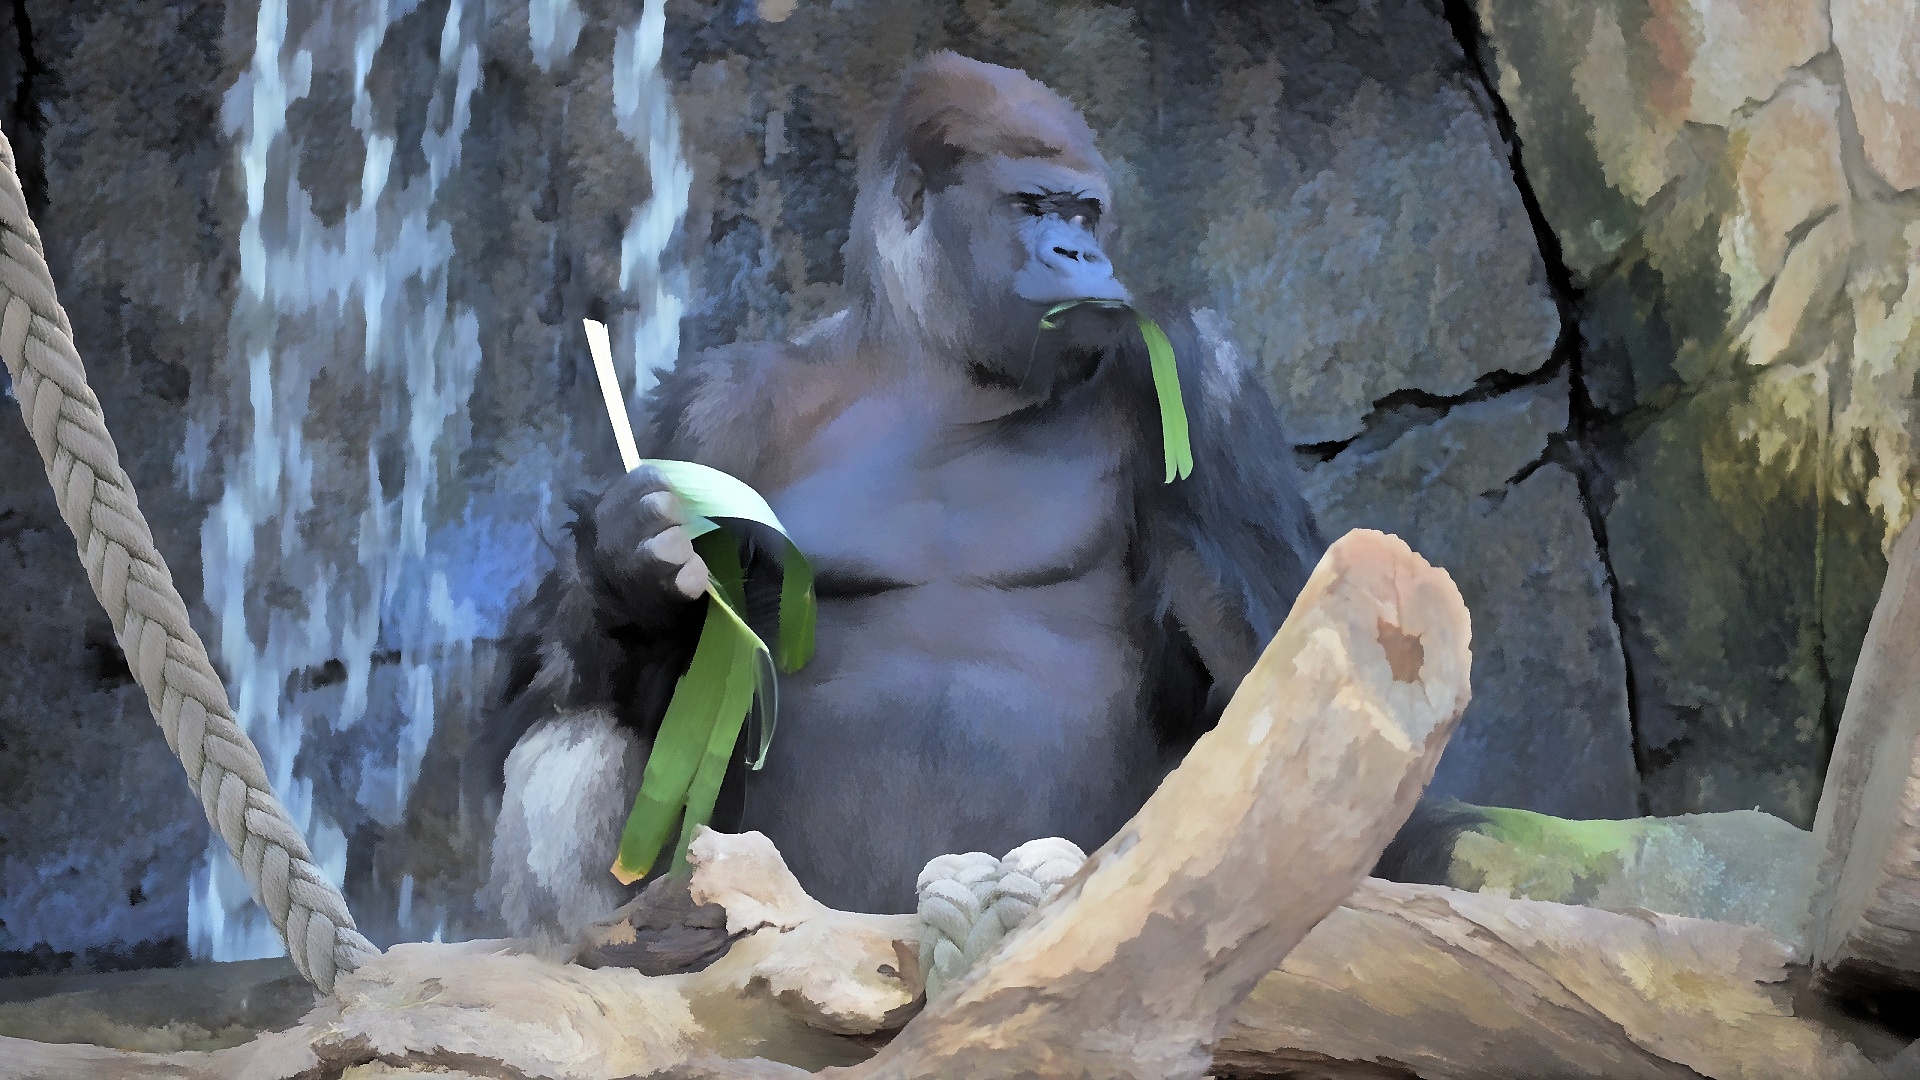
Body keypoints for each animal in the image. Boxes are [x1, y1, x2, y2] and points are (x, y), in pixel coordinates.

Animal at [474, 52, 1327, 934]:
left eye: (1087, 215)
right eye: (1032, 206)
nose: (1080, 255)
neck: (936, 369)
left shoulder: (1205, 375)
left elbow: (1275, 655)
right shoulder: (708, 411)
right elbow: (541, 678)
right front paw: (629, 564)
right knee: (573, 724)